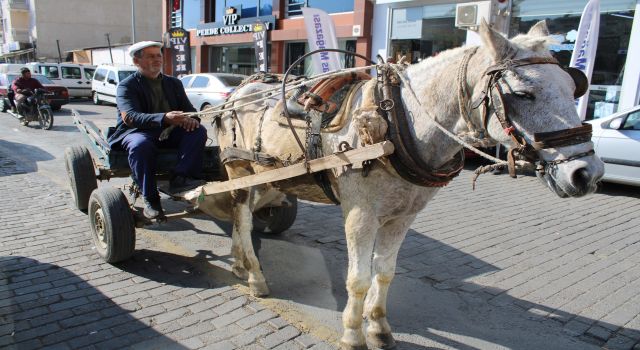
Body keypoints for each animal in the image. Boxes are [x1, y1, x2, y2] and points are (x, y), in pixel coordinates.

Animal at [200, 21, 604, 350]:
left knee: (243, 213)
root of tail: (241, 91)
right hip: (239, 167)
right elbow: (358, 278)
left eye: (574, 86)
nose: (588, 173)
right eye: (522, 93)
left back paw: (238, 262)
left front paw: (379, 328)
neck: (398, 122)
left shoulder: (402, 216)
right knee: (242, 215)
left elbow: (385, 272)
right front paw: (352, 334)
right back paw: (254, 275)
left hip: (265, 175)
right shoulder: (360, 215)